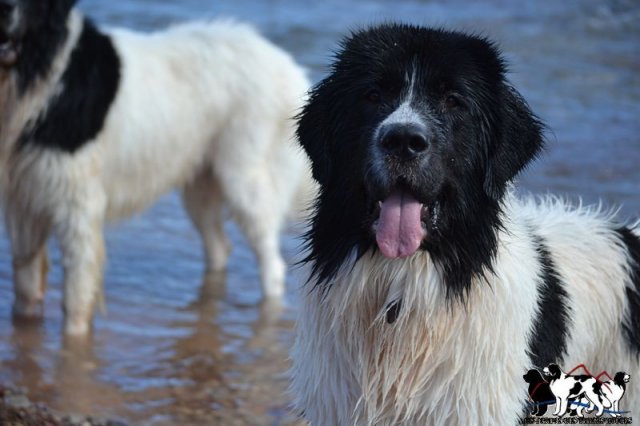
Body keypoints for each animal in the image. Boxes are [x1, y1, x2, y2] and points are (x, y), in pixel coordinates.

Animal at [0, 0, 315, 336]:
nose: (6, 8)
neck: (41, 72)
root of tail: (288, 66)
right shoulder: (23, 202)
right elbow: (25, 284)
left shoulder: (77, 205)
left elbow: (76, 297)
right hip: (201, 184)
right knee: (219, 246)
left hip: (244, 179)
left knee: (271, 263)